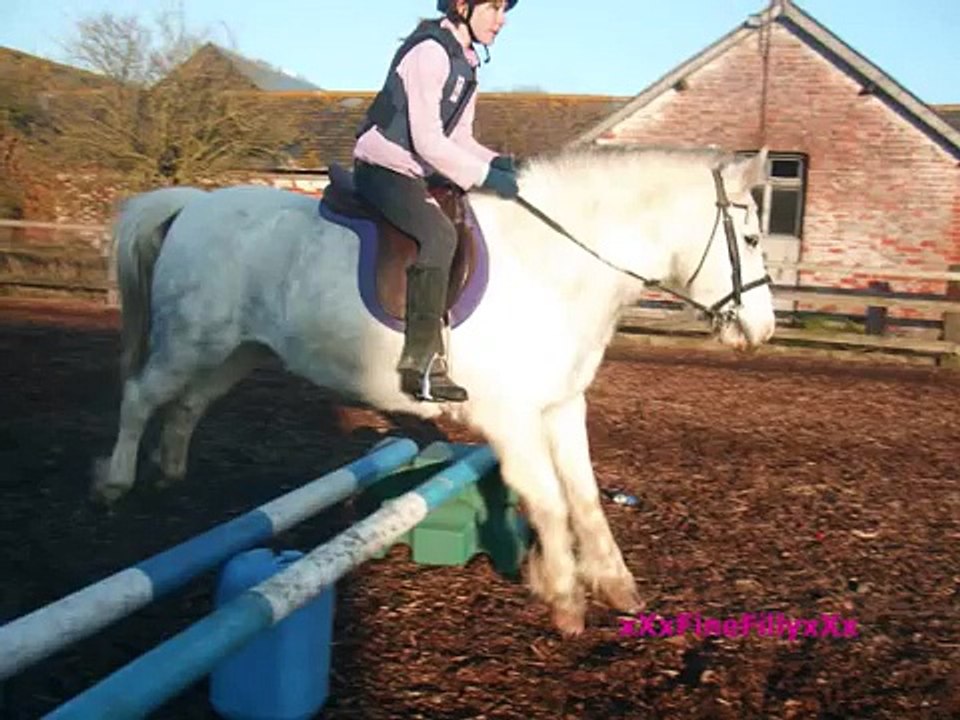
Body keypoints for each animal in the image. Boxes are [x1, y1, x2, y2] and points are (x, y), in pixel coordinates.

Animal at [93, 145, 776, 635]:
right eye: (750, 240)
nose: (764, 330)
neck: (555, 266)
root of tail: (191, 204)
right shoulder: (513, 417)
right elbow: (549, 501)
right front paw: (564, 599)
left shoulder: (561, 406)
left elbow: (583, 499)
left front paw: (616, 587)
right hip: (192, 341)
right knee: (140, 396)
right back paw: (117, 483)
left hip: (237, 350)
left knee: (186, 405)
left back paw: (172, 474)